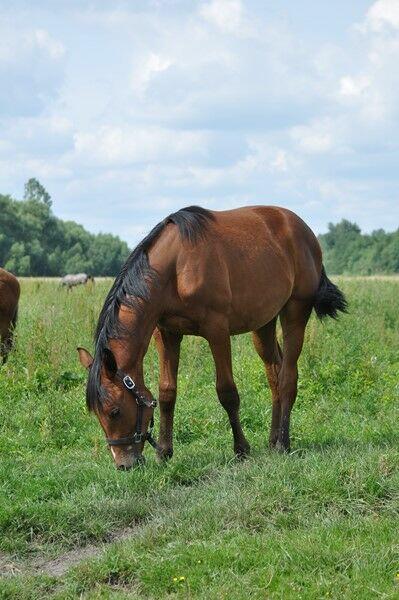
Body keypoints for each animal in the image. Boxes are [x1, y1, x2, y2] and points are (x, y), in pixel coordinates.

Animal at [77, 206, 346, 468]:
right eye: (97, 414)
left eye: (114, 411)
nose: (124, 464)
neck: (177, 267)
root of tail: (305, 231)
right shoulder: (167, 334)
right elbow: (167, 392)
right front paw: (164, 451)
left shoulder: (217, 331)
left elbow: (227, 392)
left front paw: (241, 449)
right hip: (263, 325)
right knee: (275, 376)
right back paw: (273, 439)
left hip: (295, 312)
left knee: (288, 377)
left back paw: (283, 443)